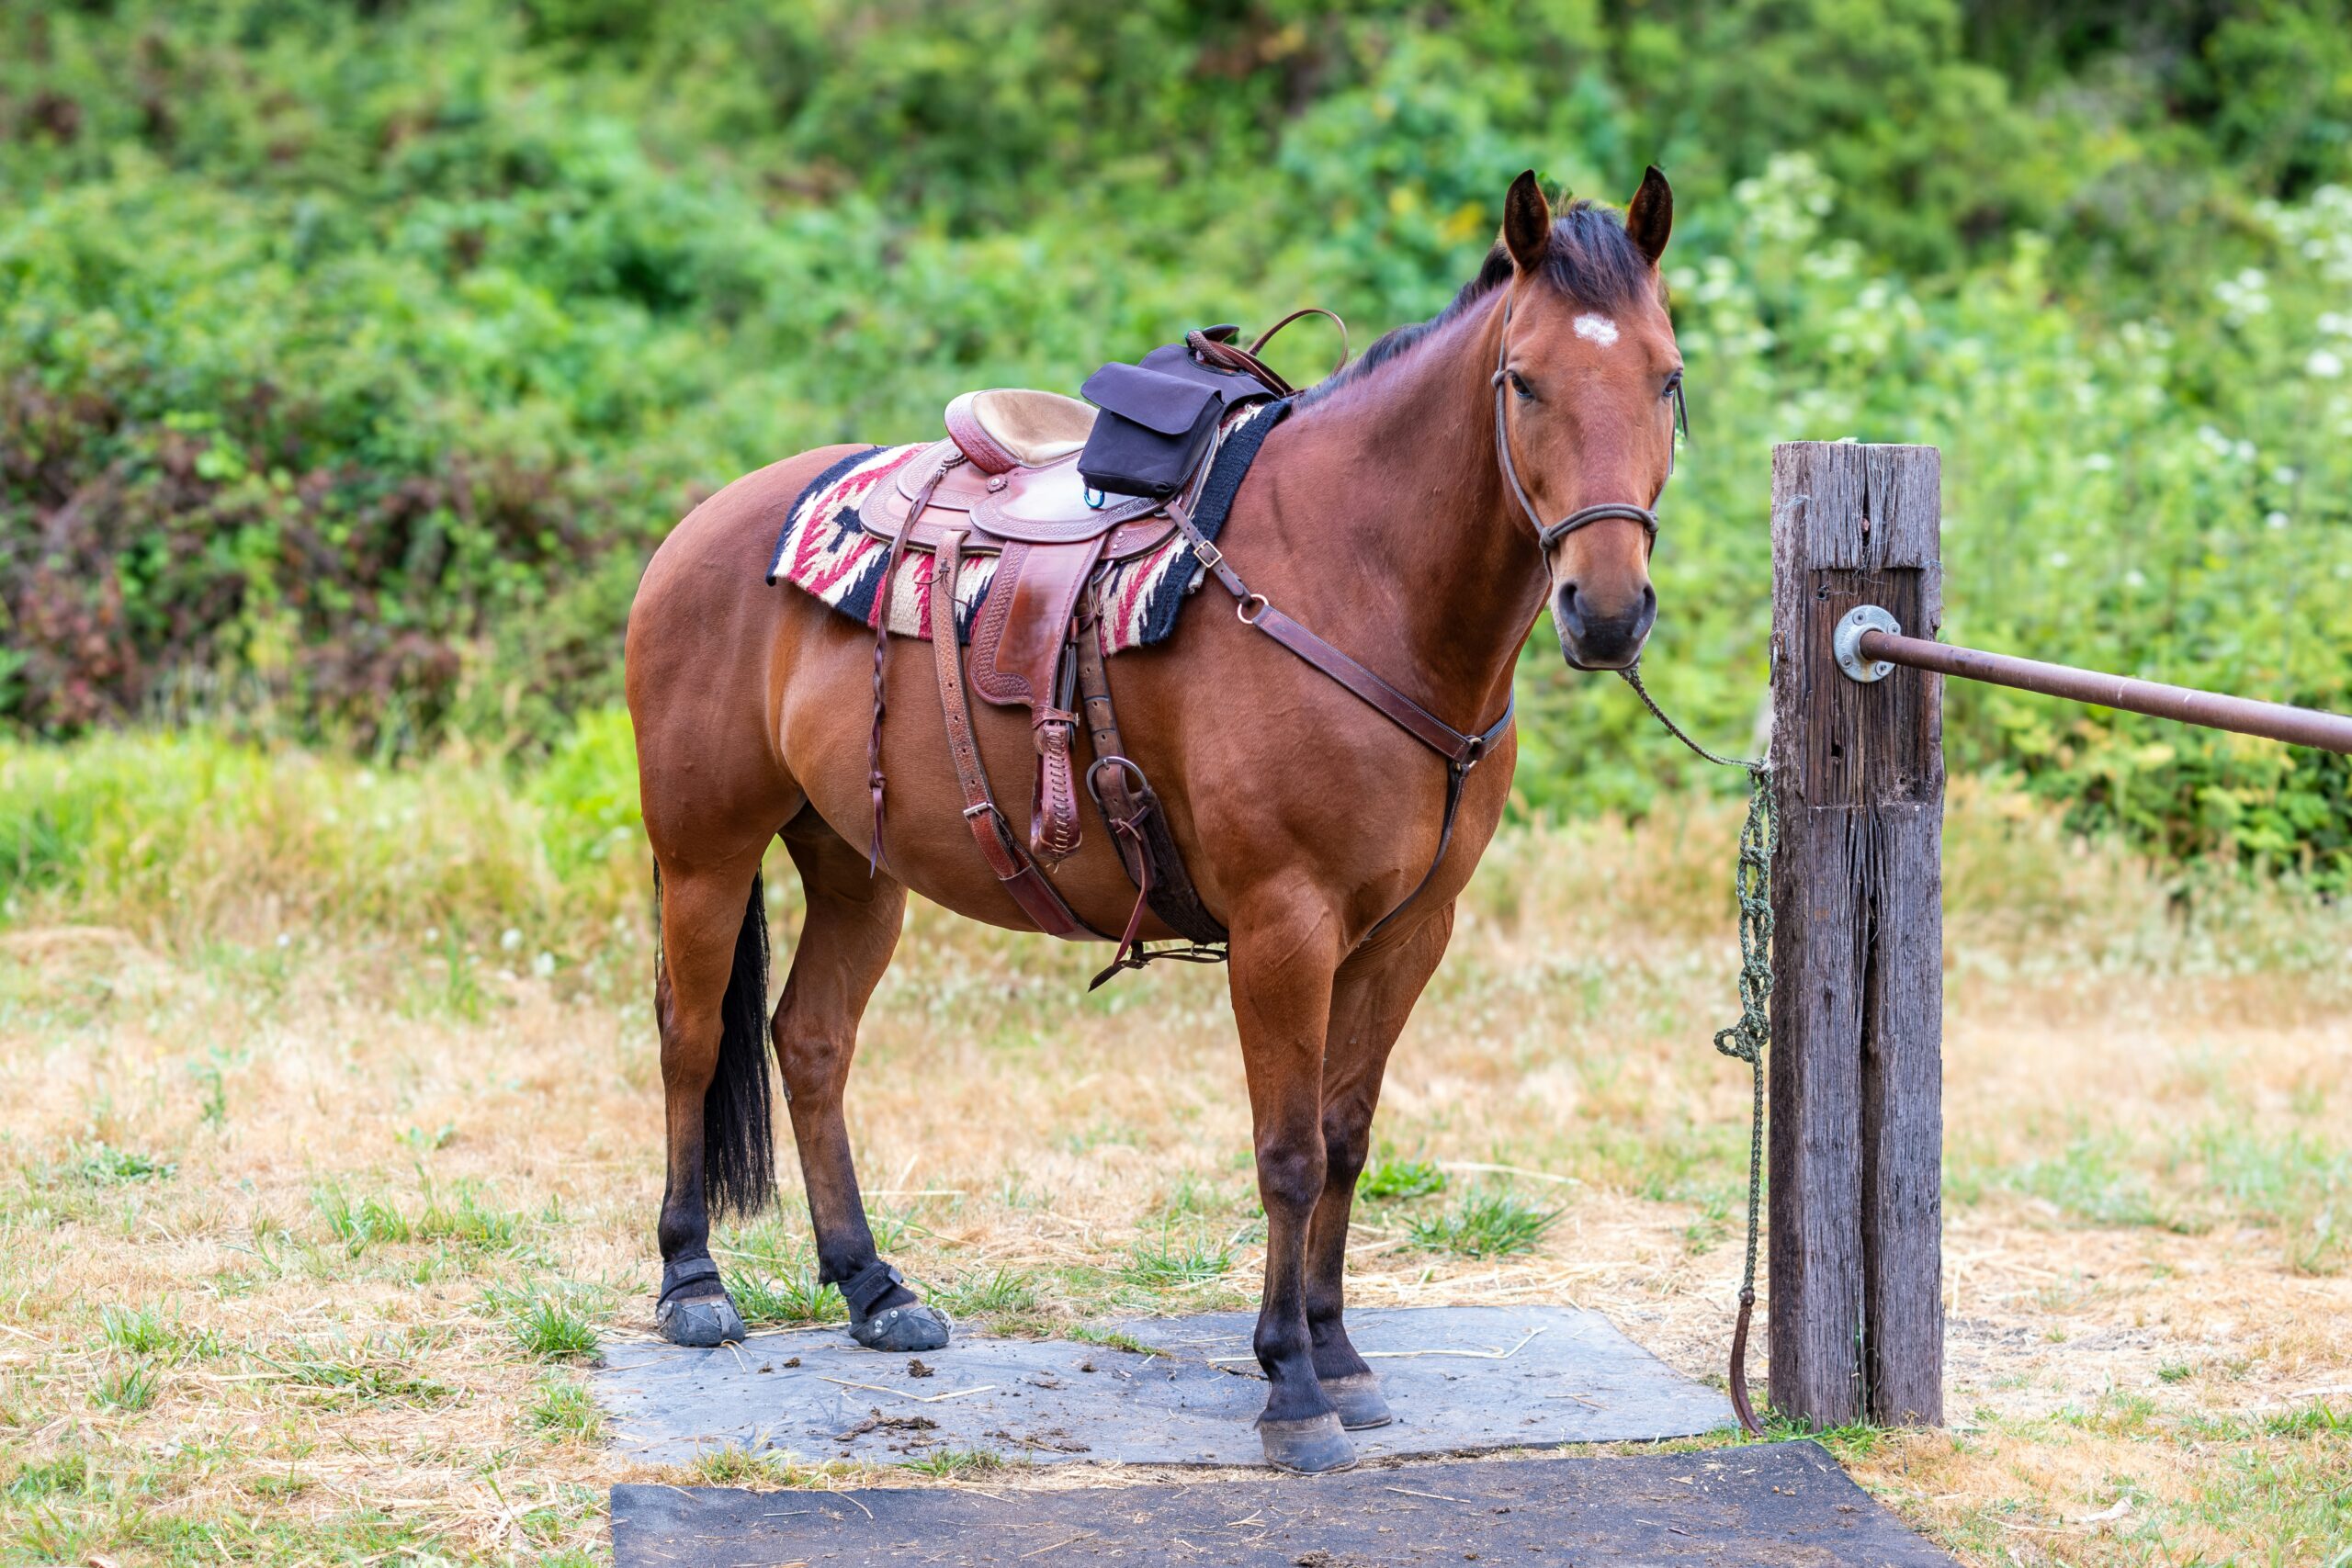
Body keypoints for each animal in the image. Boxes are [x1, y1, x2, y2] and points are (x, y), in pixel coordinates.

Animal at [635, 171, 1683, 1476]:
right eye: (1524, 380)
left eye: (1666, 378)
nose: (1608, 611)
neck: (1360, 580)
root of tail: (704, 523)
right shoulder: (1284, 928)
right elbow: (1287, 1155)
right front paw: (1292, 1387)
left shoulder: (1406, 934)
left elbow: (1344, 1139)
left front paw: (1341, 1356)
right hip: (704, 852)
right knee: (688, 1036)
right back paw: (691, 1283)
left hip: (857, 864)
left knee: (811, 1040)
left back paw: (874, 1288)